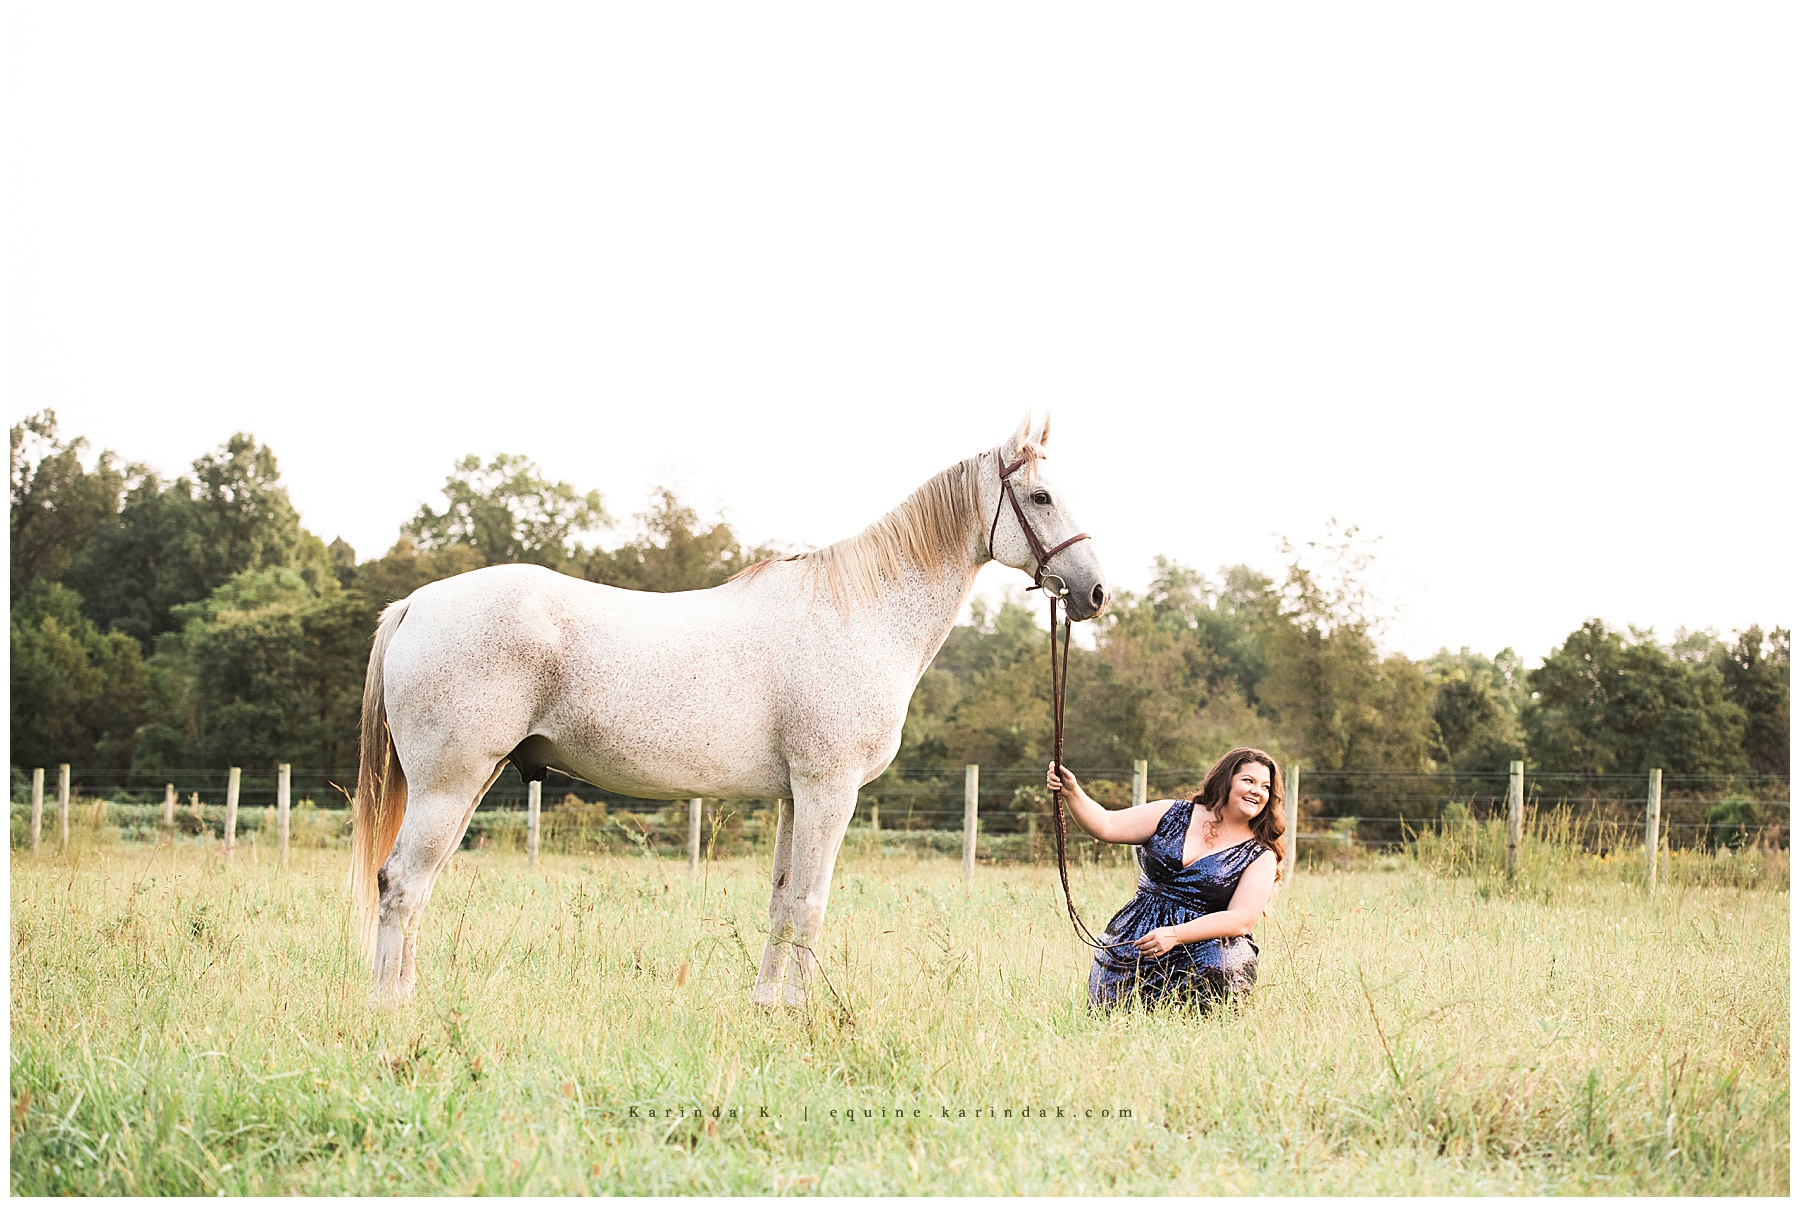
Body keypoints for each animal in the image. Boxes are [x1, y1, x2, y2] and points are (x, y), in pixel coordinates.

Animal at [351, 413, 1109, 1005]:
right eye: (1040, 495)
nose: (1094, 592)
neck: (859, 612)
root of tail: (417, 602)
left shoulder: (797, 796)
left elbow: (780, 900)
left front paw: (767, 1005)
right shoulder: (828, 790)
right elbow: (809, 902)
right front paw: (802, 1012)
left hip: (468, 784)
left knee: (417, 885)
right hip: (448, 784)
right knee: (401, 883)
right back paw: (391, 1008)